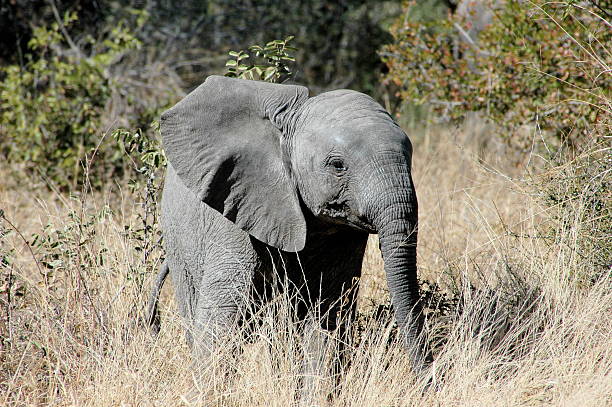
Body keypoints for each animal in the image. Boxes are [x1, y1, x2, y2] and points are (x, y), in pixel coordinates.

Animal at [148, 75, 432, 382]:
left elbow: (327, 312)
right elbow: (224, 313)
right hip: (177, 240)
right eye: (338, 165)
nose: (428, 383)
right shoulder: (235, 203)